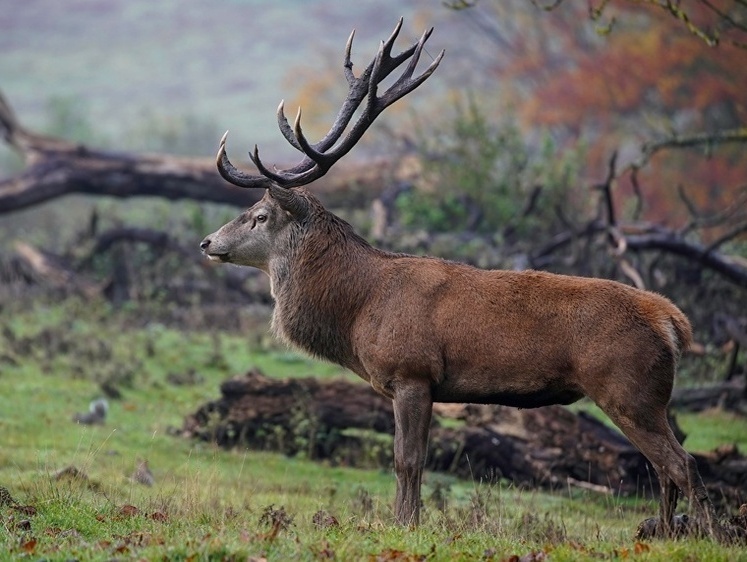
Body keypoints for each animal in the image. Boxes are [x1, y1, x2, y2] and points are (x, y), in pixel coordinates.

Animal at [200, 17, 720, 532]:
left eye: (261, 215)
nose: (207, 242)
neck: (358, 310)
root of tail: (673, 321)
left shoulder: (411, 372)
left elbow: (406, 461)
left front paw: (405, 524)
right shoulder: (421, 385)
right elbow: (415, 459)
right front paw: (409, 520)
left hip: (628, 389)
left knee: (683, 464)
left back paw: (706, 536)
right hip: (651, 397)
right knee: (665, 470)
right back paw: (663, 533)